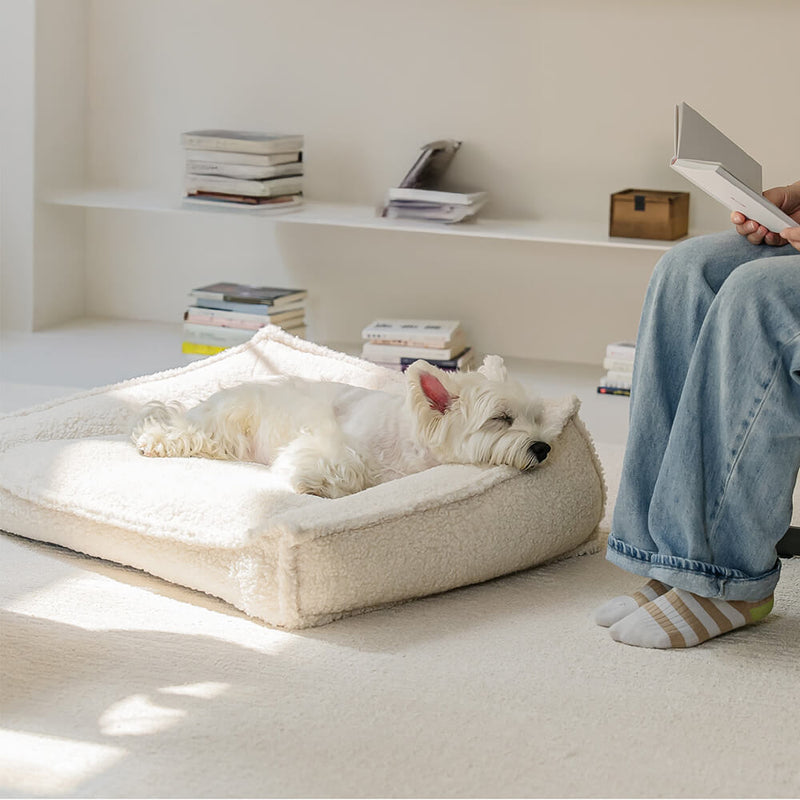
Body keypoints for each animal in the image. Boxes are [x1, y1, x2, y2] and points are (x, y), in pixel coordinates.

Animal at [133, 354, 556, 496]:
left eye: (536, 417)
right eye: (501, 419)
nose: (543, 447)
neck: (408, 447)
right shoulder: (333, 444)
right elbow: (337, 461)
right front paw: (313, 482)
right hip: (223, 424)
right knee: (184, 430)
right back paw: (153, 439)